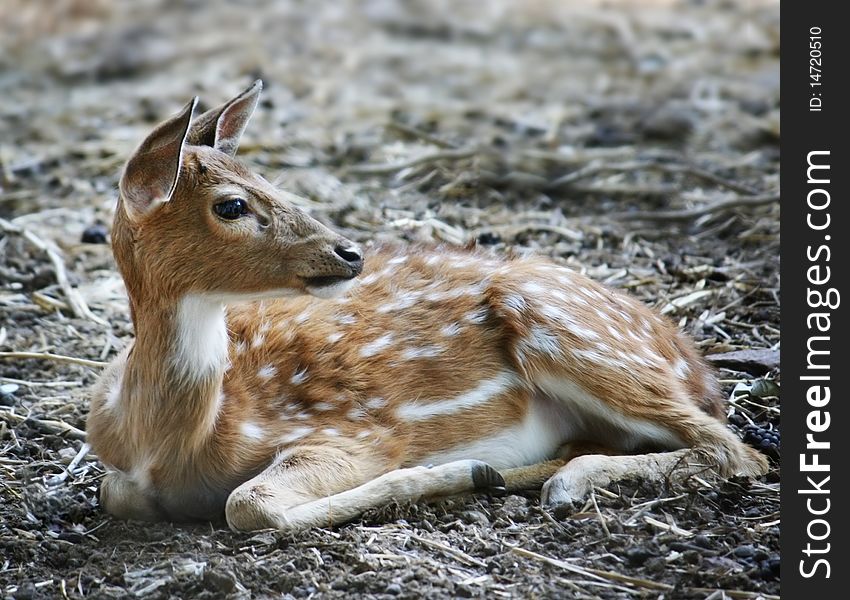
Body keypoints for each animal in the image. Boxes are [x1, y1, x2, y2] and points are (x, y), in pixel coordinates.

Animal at [88, 82, 768, 532]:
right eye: (232, 204)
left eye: (273, 181)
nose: (350, 252)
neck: (174, 441)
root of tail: (694, 362)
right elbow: (115, 492)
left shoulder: (353, 431)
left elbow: (249, 505)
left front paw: (461, 473)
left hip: (566, 327)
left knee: (737, 450)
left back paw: (551, 482)